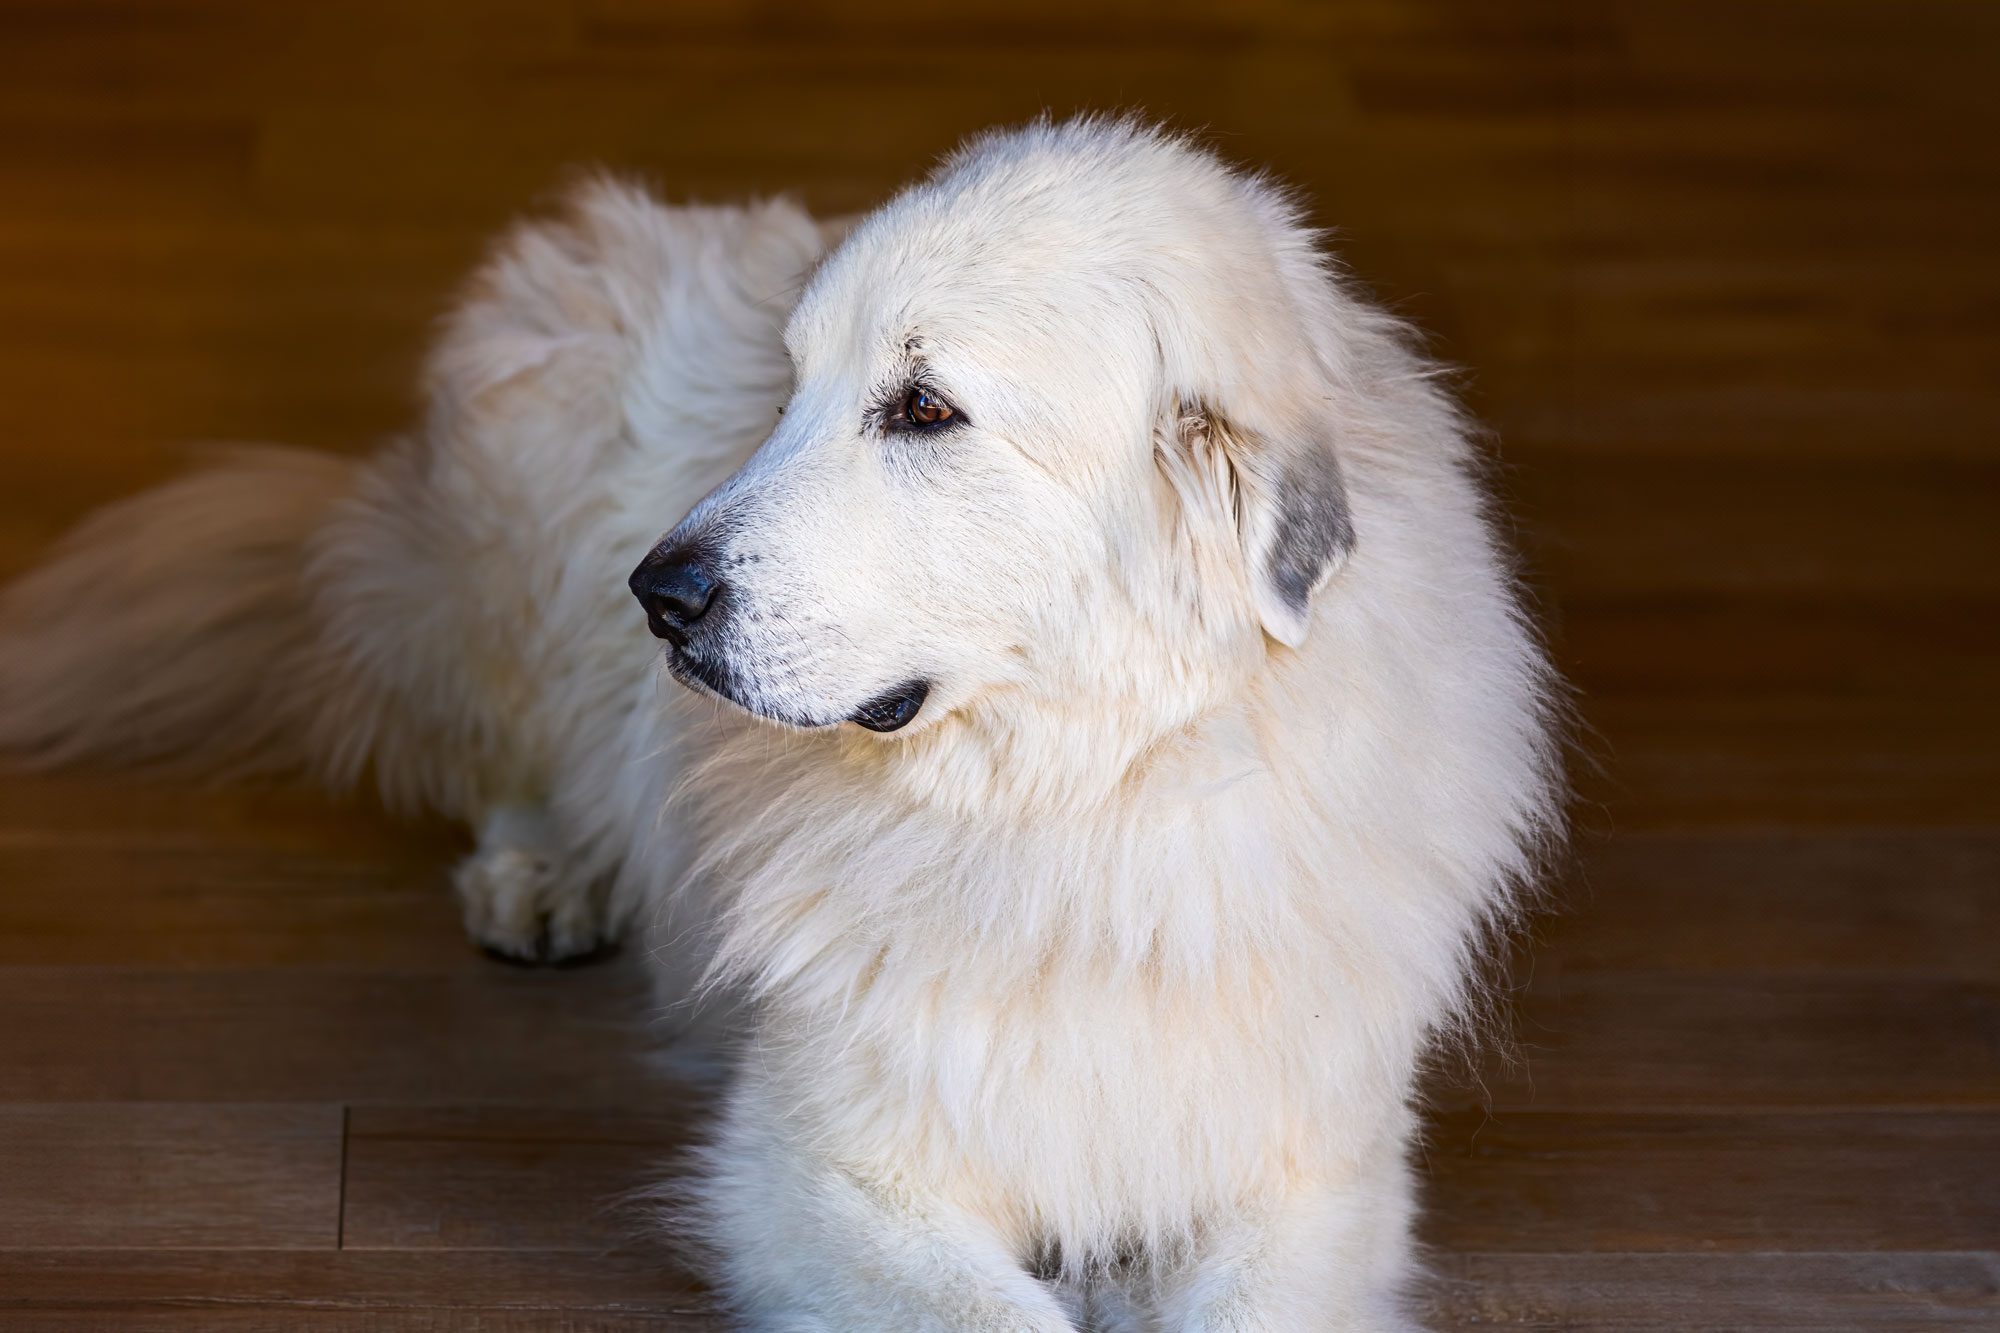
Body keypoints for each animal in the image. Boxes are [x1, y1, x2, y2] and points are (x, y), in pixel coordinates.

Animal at [0, 119, 1560, 1320]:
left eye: (924, 407)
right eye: (789, 392)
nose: (660, 595)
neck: (1077, 809)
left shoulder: (1312, 1174)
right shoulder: (815, 1173)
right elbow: (1004, 1316)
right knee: (506, 747)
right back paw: (547, 873)